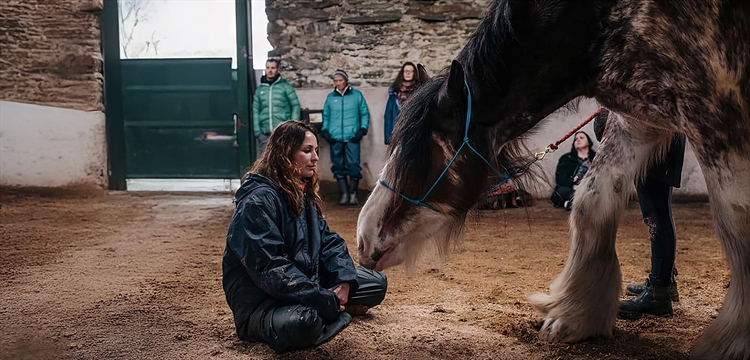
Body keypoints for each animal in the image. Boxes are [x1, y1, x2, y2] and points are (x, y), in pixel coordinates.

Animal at [356, 0, 748, 358]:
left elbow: (737, 217)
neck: (592, 19)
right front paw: (576, 315)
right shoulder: (638, 119)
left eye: (422, 156)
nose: (363, 239)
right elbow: (590, 202)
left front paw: (730, 342)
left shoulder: (714, 107)